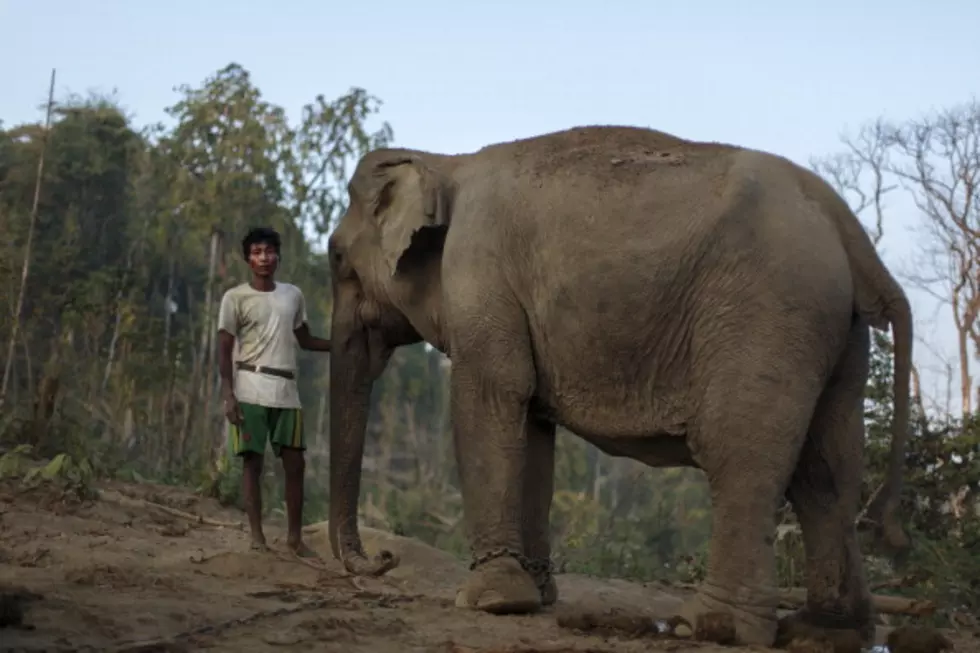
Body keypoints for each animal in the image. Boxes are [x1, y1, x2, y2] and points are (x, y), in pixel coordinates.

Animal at [326, 125, 916, 648]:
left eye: (334, 258)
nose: (382, 559)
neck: (445, 162)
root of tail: (848, 228)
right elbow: (532, 421)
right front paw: (534, 596)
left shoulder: (478, 269)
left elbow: (493, 393)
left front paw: (490, 601)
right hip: (837, 330)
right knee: (828, 470)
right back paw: (825, 632)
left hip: (767, 314)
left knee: (738, 451)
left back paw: (711, 628)